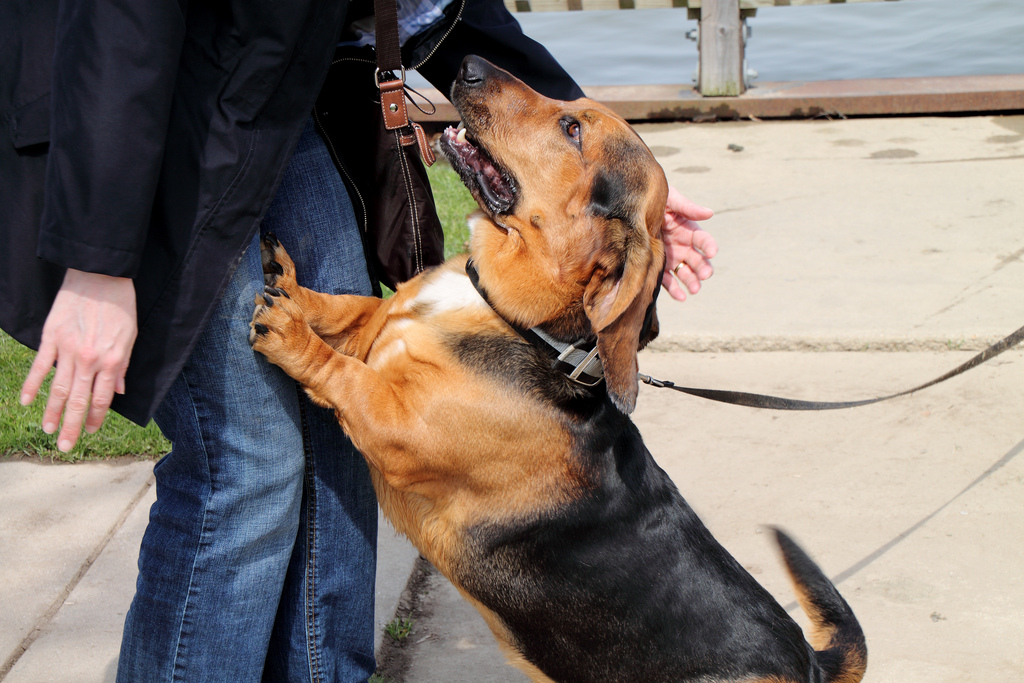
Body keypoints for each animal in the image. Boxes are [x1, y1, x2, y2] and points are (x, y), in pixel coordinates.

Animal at [247, 57, 864, 683]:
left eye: (572, 130)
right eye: (572, 109)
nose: (468, 63)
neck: (518, 320)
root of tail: (810, 661)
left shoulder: (397, 427)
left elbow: (345, 374)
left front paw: (292, 335)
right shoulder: (374, 324)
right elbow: (350, 307)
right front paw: (290, 285)